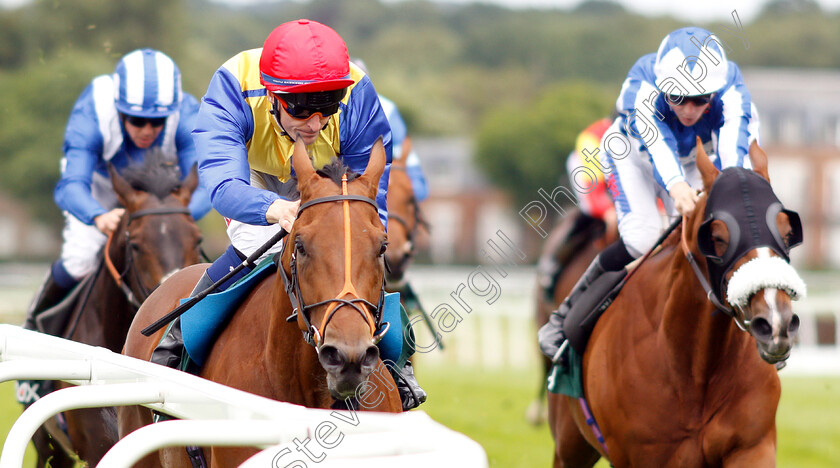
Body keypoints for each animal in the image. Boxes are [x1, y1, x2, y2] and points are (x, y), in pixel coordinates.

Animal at [548, 140, 804, 468]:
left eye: (787, 232)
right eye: (717, 236)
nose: (775, 323)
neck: (695, 370)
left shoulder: (752, 446)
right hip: (569, 445)